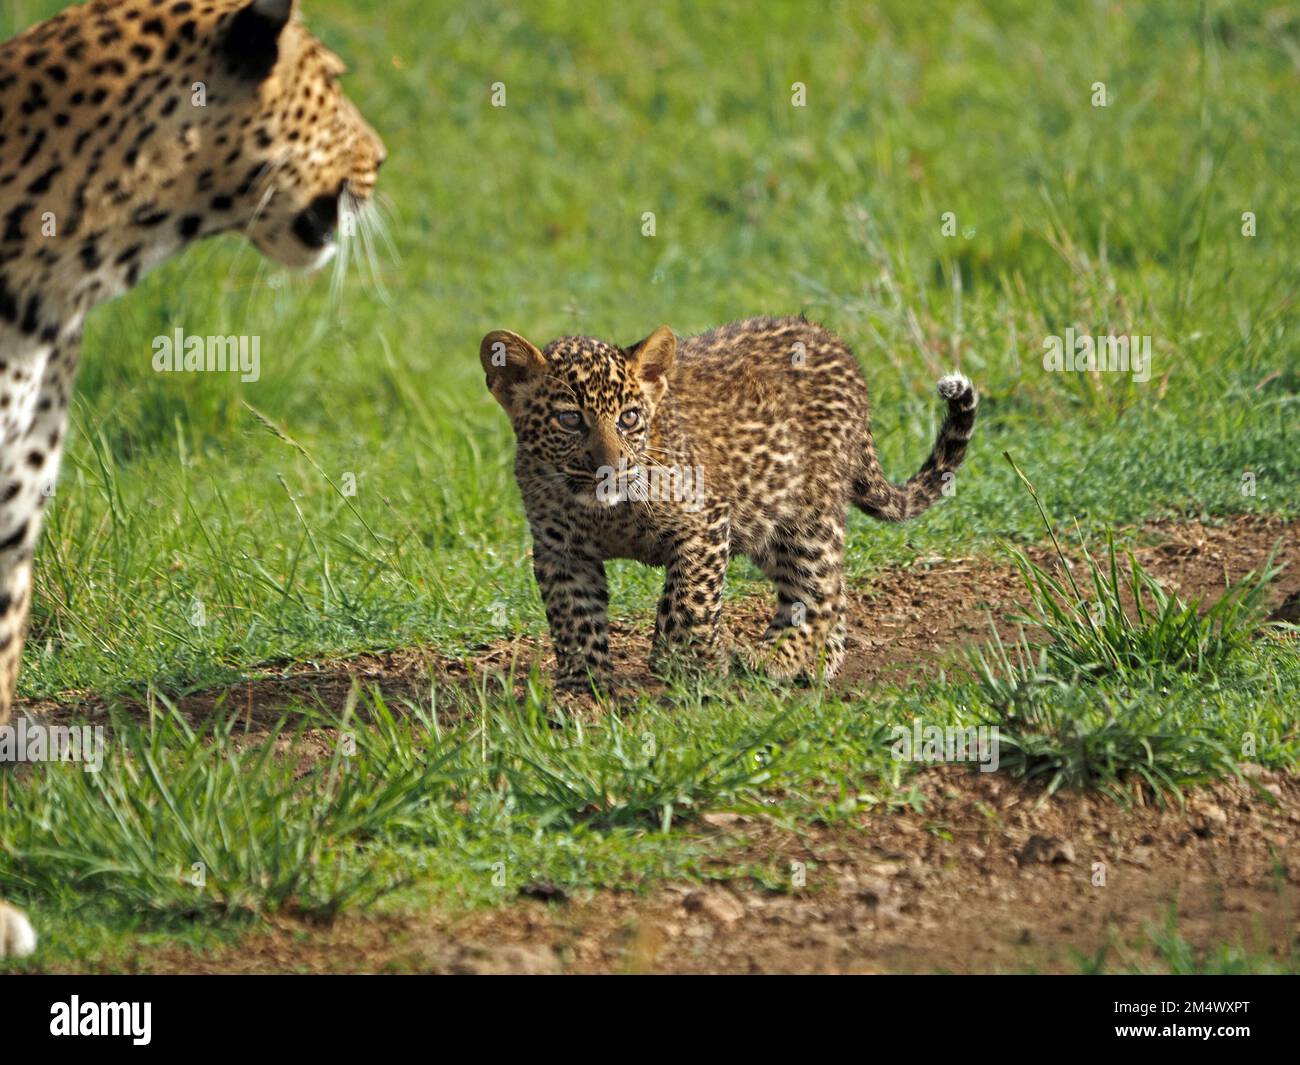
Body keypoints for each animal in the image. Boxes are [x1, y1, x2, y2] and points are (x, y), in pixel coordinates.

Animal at [480, 315, 978, 695]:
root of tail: (834, 343)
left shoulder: (704, 524)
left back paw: (773, 656)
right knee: (831, 591)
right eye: (569, 420)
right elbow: (574, 619)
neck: (603, 511)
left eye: (629, 417)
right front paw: (583, 689)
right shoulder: (561, 552)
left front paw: (687, 664)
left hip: (805, 517)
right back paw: (816, 662)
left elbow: (687, 603)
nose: (611, 468)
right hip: (766, 521)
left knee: (818, 592)